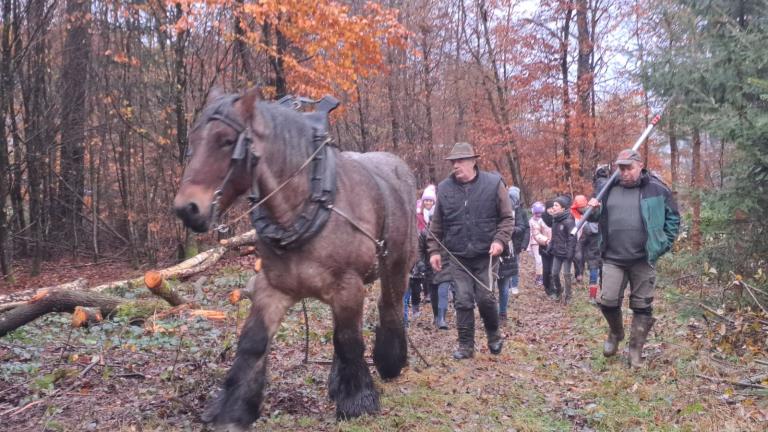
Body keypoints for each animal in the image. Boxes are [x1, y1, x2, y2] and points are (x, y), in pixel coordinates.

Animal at [173, 87, 416, 428]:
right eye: (193, 140)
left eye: (226, 140)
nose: (187, 209)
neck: (303, 207)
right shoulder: (272, 288)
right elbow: (253, 343)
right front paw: (234, 409)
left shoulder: (348, 285)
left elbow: (348, 340)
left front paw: (358, 401)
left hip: (397, 264)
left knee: (390, 306)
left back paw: (390, 361)